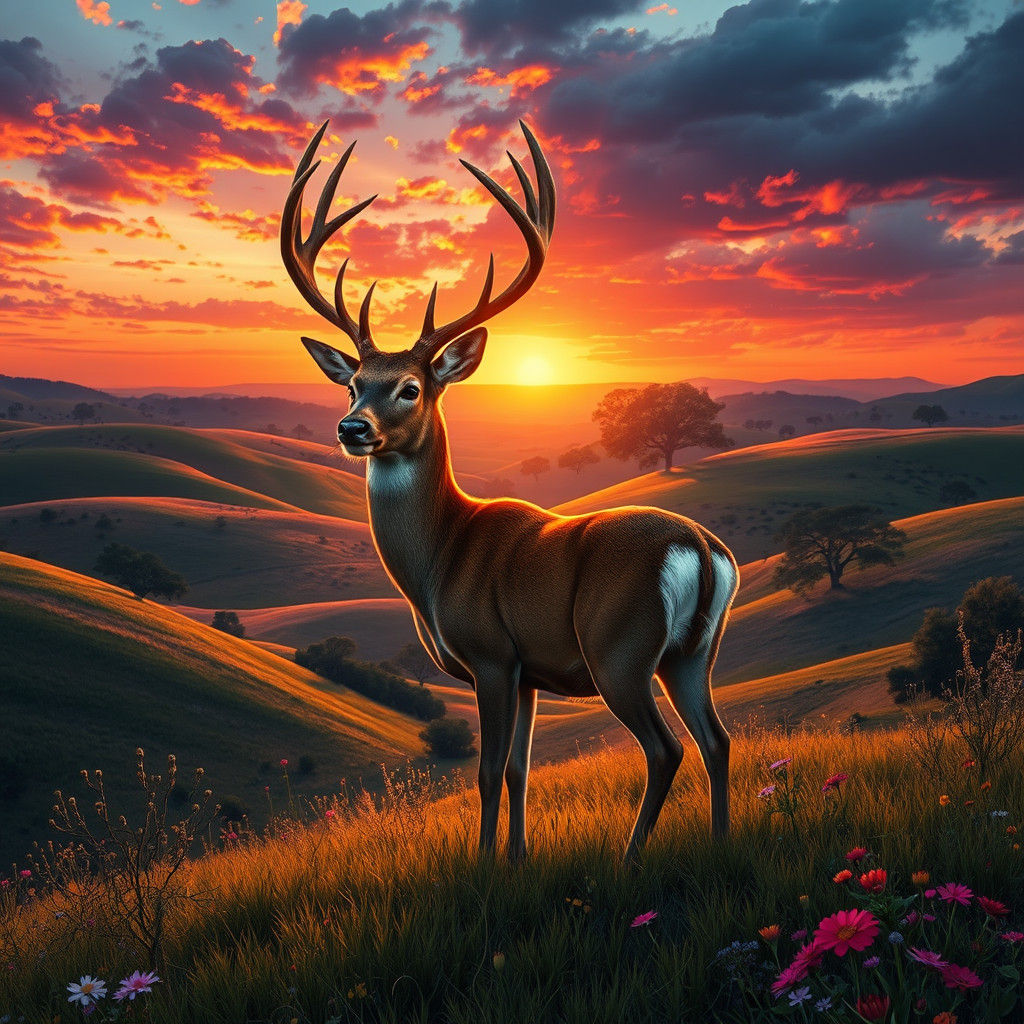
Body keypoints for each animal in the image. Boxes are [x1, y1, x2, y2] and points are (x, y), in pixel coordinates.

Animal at [281, 120, 739, 863]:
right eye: (352, 384)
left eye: (410, 388)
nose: (352, 429)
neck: (441, 559)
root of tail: (699, 548)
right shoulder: (528, 673)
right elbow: (522, 769)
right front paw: (520, 858)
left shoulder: (492, 654)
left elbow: (490, 770)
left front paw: (484, 865)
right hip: (692, 653)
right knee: (718, 740)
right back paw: (723, 842)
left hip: (620, 647)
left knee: (667, 748)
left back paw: (629, 858)